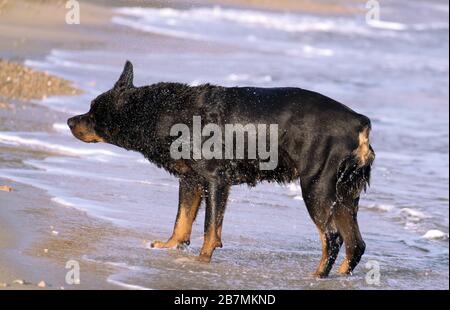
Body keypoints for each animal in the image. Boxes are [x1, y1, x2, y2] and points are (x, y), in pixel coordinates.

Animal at [68, 61, 374, 278]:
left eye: (93, 112)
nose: (70, 121)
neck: (164, 112)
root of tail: (360, 123)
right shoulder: (190, 180)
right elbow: (181, 221)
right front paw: (170, 247)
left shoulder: (216, 180)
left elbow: (209, 228)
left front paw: (202, 259)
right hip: (345, 194)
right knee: (355, 244)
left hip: (316, 187)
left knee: (332, 238)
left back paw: (317, 276)